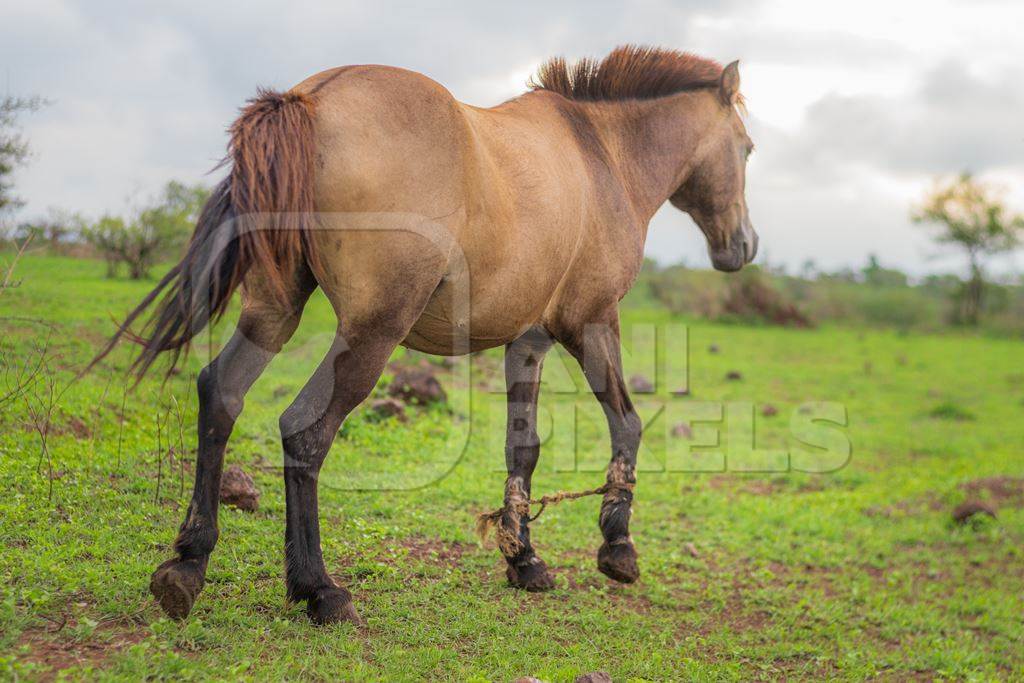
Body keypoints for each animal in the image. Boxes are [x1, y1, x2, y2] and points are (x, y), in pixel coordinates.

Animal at [94, 45, 753, 626]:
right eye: (747, 149)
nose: (744, 246)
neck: (600, 155)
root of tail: (309, 99)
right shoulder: (590, 322)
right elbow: (627, 422)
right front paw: (617, 547)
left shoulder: (528, 341)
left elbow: (523, 446)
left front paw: (524, 559)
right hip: (371, 333)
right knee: (304, 431)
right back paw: (319, 590)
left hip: (272, 311)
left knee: (220, 395)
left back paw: (188, 563)